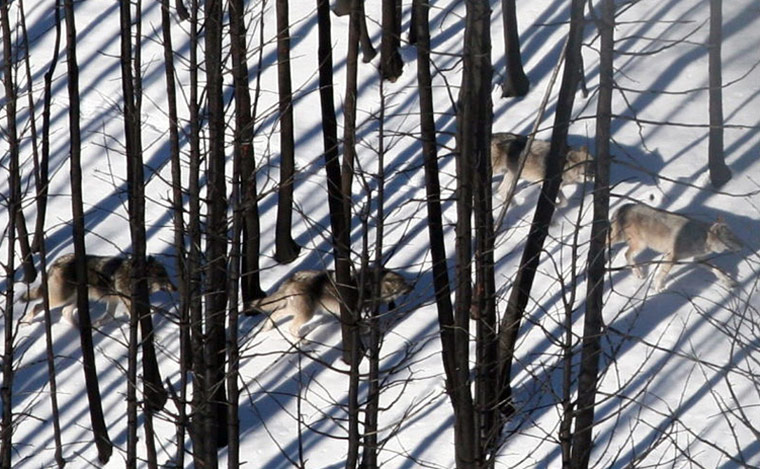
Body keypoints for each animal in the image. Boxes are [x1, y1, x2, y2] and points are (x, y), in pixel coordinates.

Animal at [19, 253, 177, 326]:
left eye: (167, 276)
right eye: (162, 276)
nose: (175, 288)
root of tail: (56, 261)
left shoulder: (114, 301)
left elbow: (108, 316)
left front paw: (98, 324)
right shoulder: (128, 304)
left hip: (76, 299)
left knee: (65, 312)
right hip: (60, 299)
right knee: (37, 306)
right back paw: (26, 322)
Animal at [245, 268, 413, 339]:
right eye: (404, 284)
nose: (413, 286)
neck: (370, 286)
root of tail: (292, 278)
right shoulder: (354, 312)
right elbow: (364, 326)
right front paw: (365, 331)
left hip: (294, 309)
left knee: (275, 314)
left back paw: (267, 328)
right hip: (307, 313)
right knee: (291, 327)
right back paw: (303, 342)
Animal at [609, 203, 743, 292]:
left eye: (735, 235)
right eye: (730, 238)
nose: (742, 245)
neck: (702, 238)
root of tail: (624, 206)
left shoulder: (698, 259)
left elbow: (718, 269)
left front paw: (729, 282)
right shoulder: (672, 256)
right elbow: (661, 274)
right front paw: (658, 288)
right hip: (639, 244)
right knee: (625, 253)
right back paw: (637, 273)